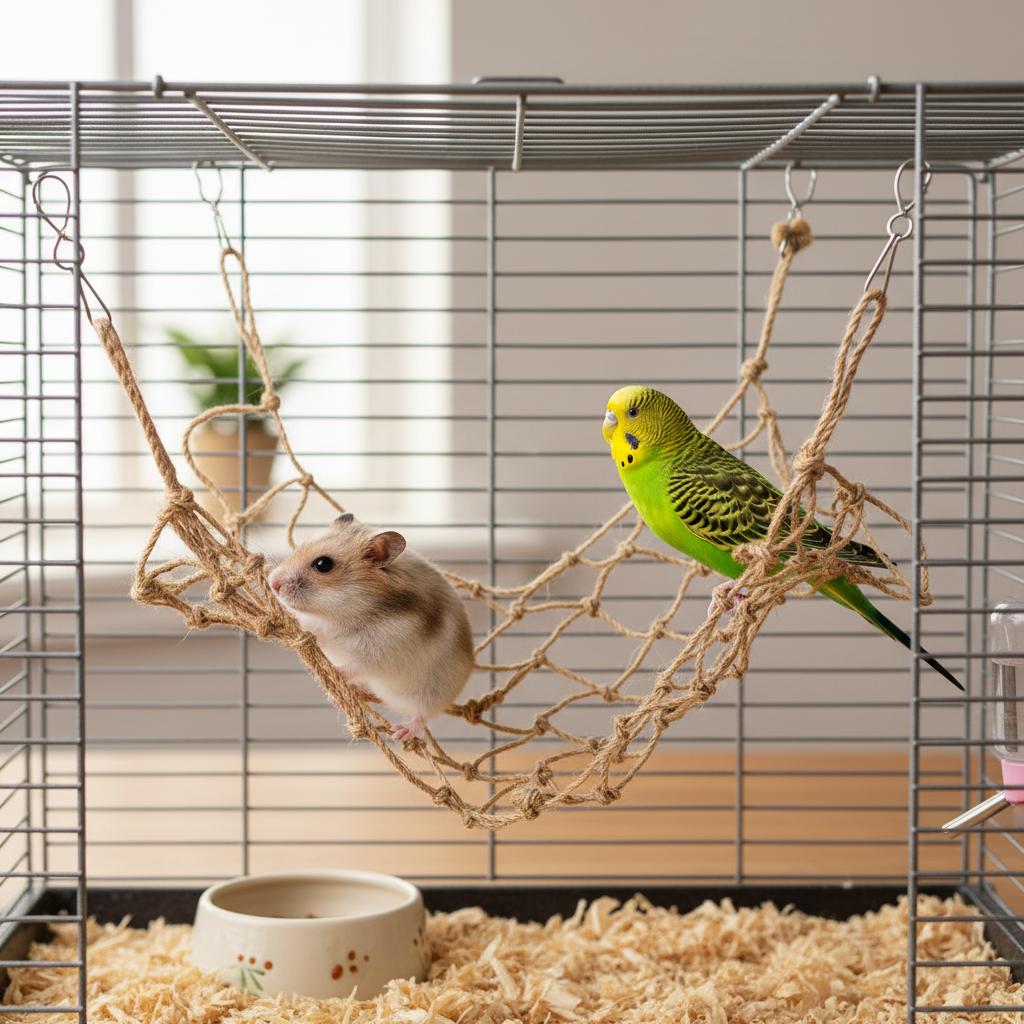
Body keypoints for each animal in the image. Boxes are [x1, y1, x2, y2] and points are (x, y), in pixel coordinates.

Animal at [267, 514, 475, 741]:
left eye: (323, 564)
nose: (272, 583)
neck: (345, 614)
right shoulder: (329, 636)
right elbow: (316, 632)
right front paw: (292, 619)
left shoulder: (380, 651)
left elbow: (355, 665)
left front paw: (335, 671)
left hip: (432, 692)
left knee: (421, 715)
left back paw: (400, 732)